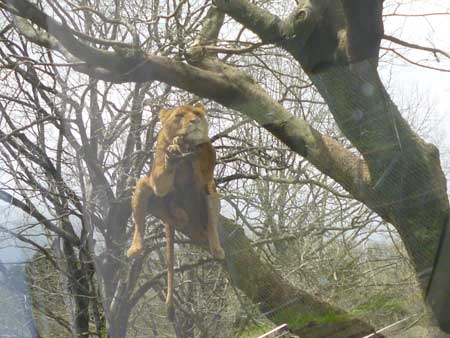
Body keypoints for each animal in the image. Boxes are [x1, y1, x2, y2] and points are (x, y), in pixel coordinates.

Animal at [126, 101, 225, 320]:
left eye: (197, 113)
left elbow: (205, 158)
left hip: (211, 195)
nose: (194, 121)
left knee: (212, 224)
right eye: (179, 115)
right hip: (143, 185)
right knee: (142, 221)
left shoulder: (206, 178)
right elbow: (163, 177)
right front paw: (173, 152)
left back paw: (216, 248)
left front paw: (199, 147)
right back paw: (137, 247)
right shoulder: (158, 181)